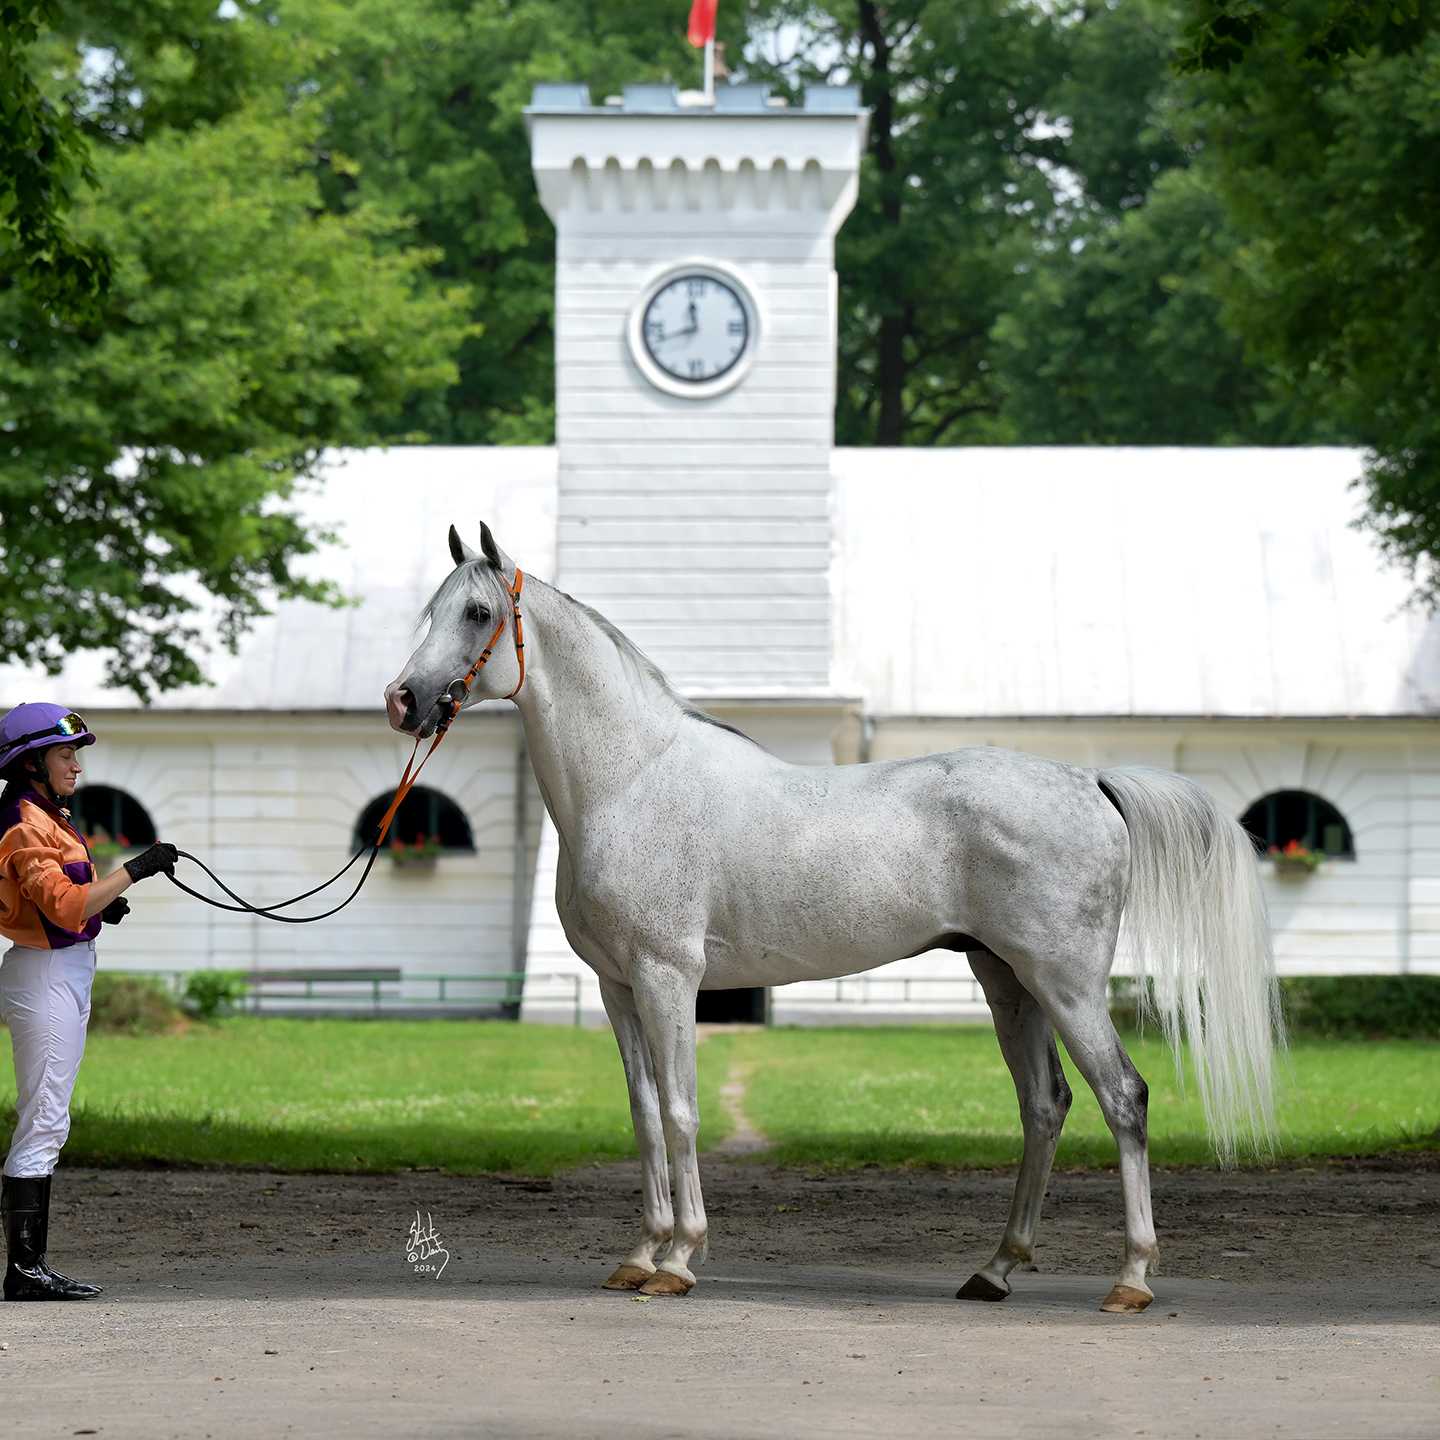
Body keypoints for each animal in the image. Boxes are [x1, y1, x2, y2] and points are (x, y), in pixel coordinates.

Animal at [384, 520, 1283, 1314]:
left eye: (477, 613)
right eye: (430, 611)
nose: (403, 701)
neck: (632, 780)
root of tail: (1088, 782)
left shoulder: (669, 978)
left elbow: (680, 1111)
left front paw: (679, 1261)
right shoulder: (616, 987)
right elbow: (643, 1117)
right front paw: (638, 1255)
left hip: (1067, 984)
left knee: (1122, 1096)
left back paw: (1130, 1278)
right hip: (1007, 980)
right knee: (1045, 1104)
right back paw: (995, 1269)